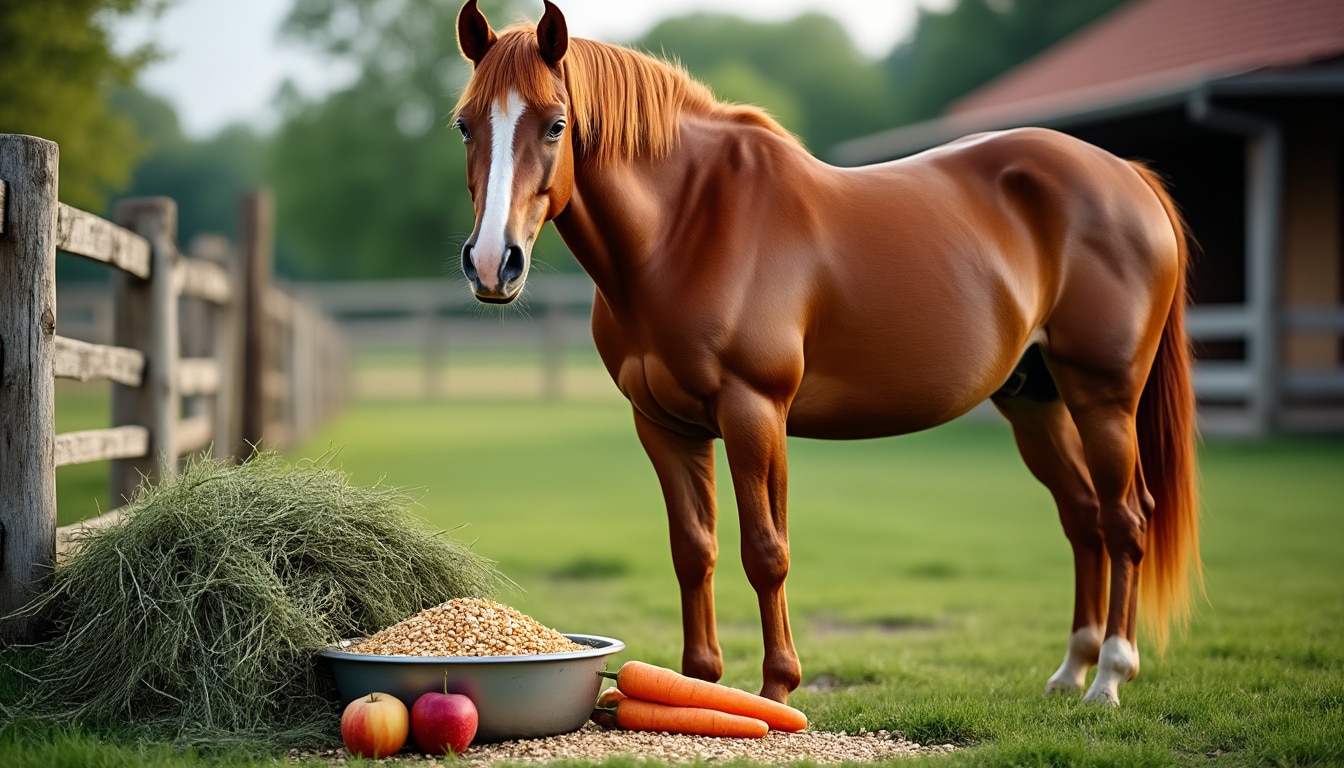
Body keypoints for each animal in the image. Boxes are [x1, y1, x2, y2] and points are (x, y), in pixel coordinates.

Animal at [451, 0, 1201, 706]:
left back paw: (1110, 676)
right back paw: (1071, 670)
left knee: (1125, 518)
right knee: (1082, 517)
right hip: (1035, 400)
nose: (492, 263)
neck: (684, 228)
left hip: (1103, 397)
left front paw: (777, 687)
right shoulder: (663, 424)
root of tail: (1126, 176)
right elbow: (694, 551)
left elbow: (766, 551)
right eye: (465, 124)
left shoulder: (754, 412)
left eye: (555, 124)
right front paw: (699, 682)